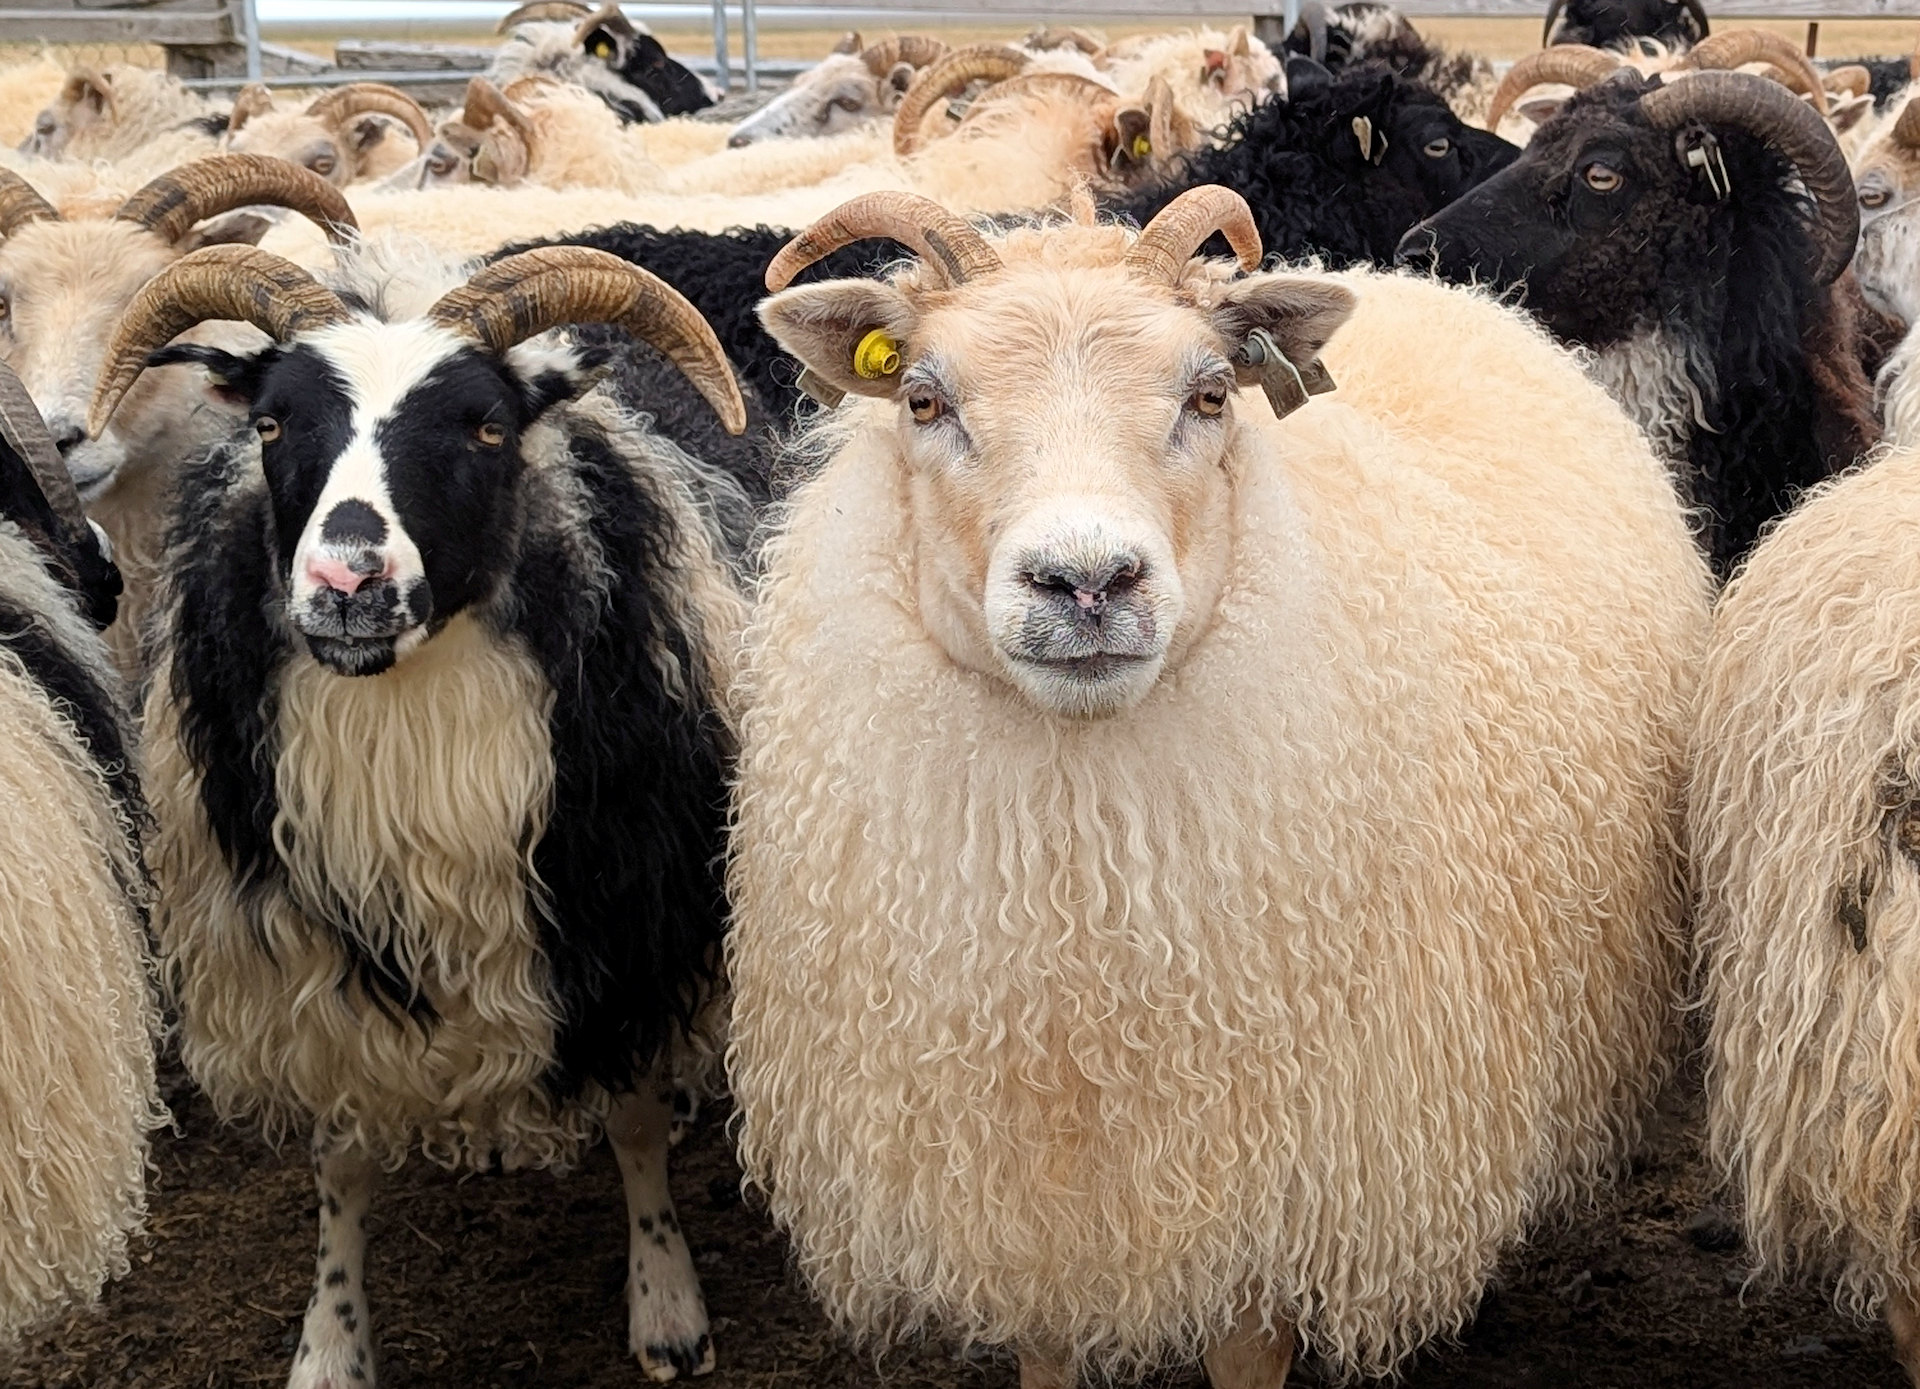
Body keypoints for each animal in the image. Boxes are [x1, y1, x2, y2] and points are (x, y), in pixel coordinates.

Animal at [90, 236, 752, 1383]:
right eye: (273, 424)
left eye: (486, 425)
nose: (347, 583)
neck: (404, 718)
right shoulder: (313, 957)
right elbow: (341, 1167)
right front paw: (330, 1342)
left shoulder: (620, 918)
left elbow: (631, 1122)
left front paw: (667, 1304)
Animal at [721, 187, 1712, 1389]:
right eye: (922, 398)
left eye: (1206, 395)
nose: (1087, 582)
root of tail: (1426, 288)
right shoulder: (1025, 1187)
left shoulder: (1273, 1185)